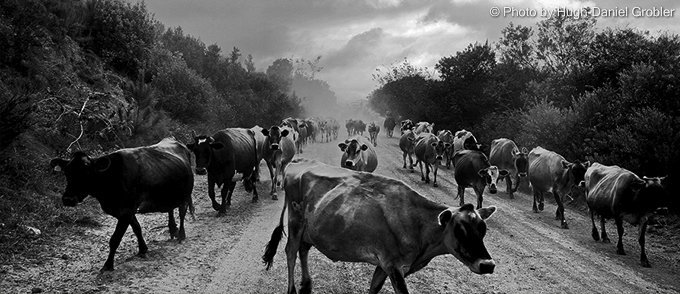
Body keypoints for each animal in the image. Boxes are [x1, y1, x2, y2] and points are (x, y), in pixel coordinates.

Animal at [49, 138, 194, 272]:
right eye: (67, 172)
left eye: (86, 173)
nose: (68, 199)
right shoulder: (126, 211)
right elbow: (137, 228)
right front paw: (143, 249)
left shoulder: (126, 211)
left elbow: (115, 239)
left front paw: (108, 265)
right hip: (169, 194)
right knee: (170, 210)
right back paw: (173, 229)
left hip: (186, 194)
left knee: (182, 212)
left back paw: (181, 235)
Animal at [262, 158, 496, 294]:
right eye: (460, 231)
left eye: (483, 230)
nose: (488, 265)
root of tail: (298, 163)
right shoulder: (393, 266)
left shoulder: (384, 266)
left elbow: (373, 289)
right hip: (295, 222)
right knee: (291, 251)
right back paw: (293, 289)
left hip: (310, 229)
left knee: (303, 249)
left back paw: (307, 284)